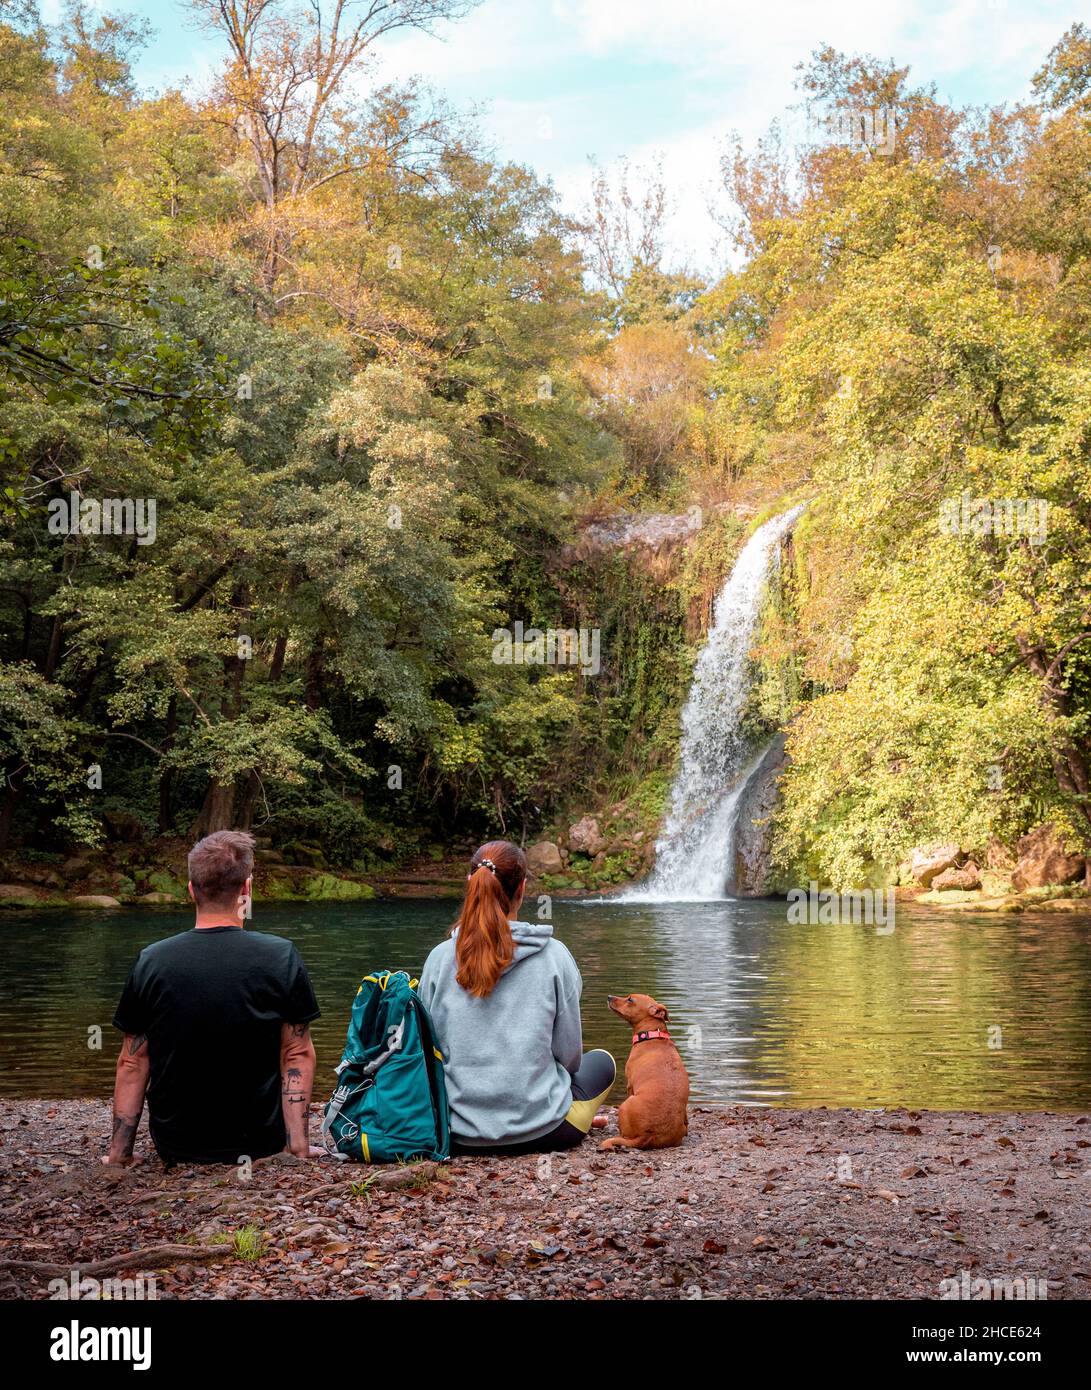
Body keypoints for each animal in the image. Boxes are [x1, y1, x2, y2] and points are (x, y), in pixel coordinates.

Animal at [594, 1000, 689, 1150]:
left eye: (630, 1000)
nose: (609, 997)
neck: (653, 1036)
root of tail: (647, 1135)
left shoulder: (629, 1085)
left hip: (624, 1105)